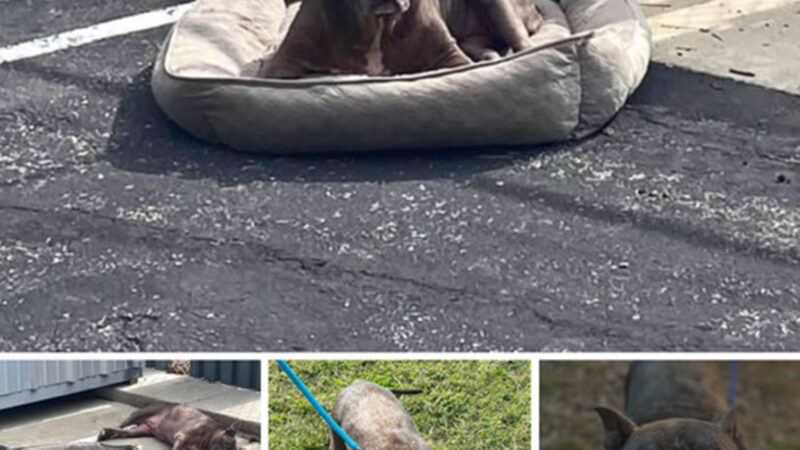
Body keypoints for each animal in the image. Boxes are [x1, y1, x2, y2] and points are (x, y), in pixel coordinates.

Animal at [98, 406, 239, 450]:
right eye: (226, 443)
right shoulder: (182, 437)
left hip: (141, 431)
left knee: (123, 431)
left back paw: (107, 434)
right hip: (139, 414)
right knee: (121, 425)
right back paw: (102, 434)